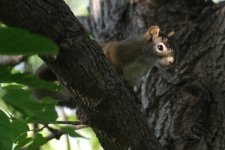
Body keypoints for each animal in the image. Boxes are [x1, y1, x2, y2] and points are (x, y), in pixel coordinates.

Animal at [33, 25, 175, 105]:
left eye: (173, 49)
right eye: (160, 47)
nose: (171, 62)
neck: (144, 61)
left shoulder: (136, 77)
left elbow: (131, 85)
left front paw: (135, 96)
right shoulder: (122, 49)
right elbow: (113, 56)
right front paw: (119, 75)